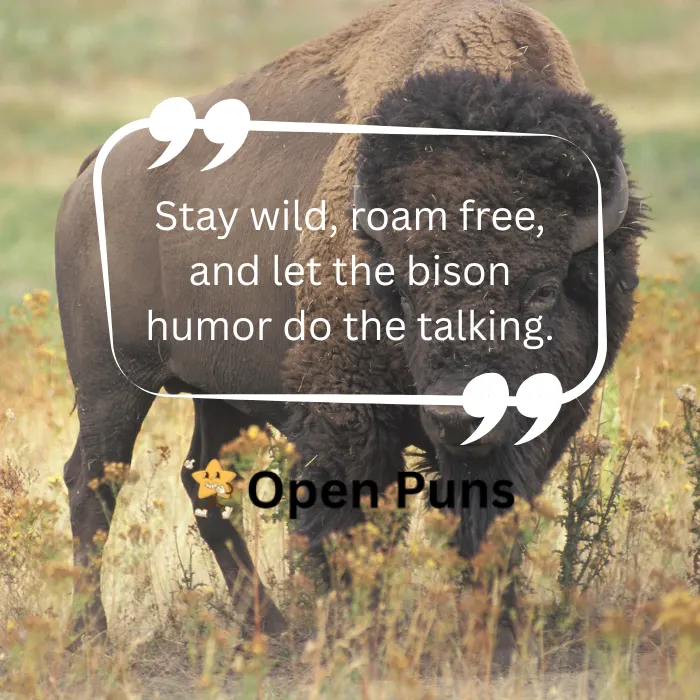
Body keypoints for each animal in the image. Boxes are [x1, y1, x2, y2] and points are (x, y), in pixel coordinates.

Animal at [55, 0, 644, 641]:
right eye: (404, 290)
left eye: (542, 290)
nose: (457, 415)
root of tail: (89, 173)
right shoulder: (345, 413)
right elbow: (354, 529)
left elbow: (488, 525)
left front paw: (497, 633)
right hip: (112, 383)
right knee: (92, 481)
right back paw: (92, 635)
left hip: (218, 394)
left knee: (203, 482)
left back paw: (269, 628)